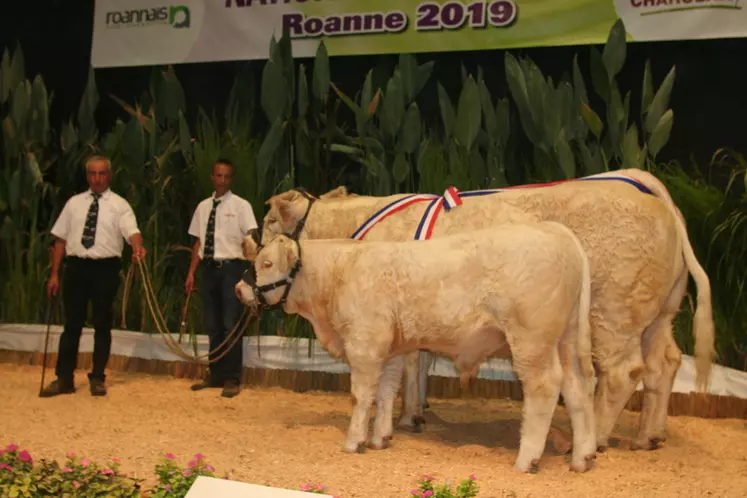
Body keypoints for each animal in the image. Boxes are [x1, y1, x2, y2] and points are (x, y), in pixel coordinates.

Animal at [237, 223, 600, 474]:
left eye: (266, 263)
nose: (240, 288)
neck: (337, 275)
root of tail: (557, 230)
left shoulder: (365, 345)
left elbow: (361, 395)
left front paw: (354, 441)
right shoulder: (392, 349)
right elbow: (386, 392)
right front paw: (380, 438)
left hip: (531, 341)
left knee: (544, 387)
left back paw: (528, 459)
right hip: (567, 339)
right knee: (578, 387)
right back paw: (582, 457)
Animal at [258, 168, 720, 452]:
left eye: (269, 224)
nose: (251, 242)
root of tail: (657, 200)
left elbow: (407, 366)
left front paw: (405, 417)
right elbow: (418, 363)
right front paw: (415, 412)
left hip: (614, 312)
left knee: (624, 373)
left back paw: (595, 440)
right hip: (657, 314)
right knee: (664, 364)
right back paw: (649, 436)